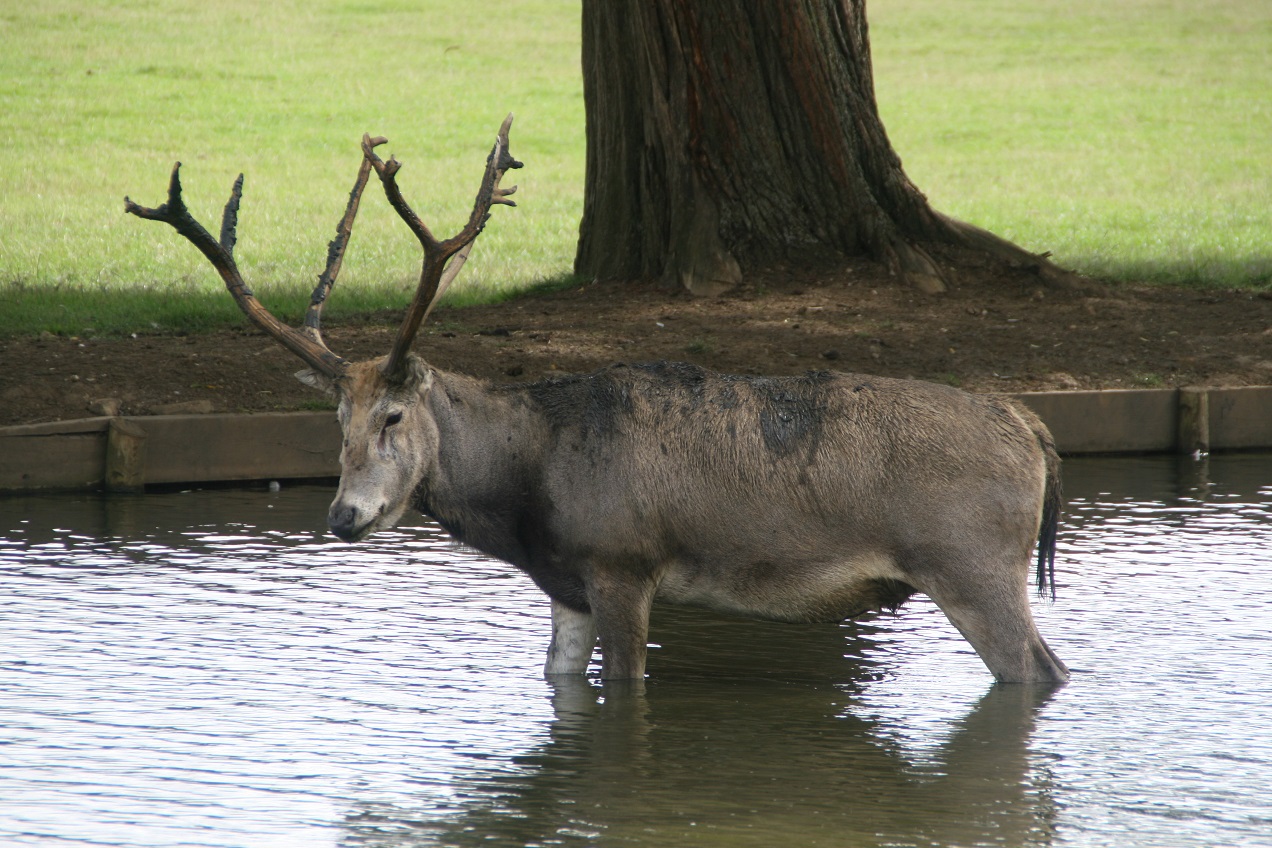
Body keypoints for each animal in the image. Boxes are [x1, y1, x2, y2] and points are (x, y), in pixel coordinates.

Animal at [126, 114, 1073, 681]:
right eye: (335, 420)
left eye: (393, 415)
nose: (344, 516)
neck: (531, 491)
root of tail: (1034, 429)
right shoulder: (568, 585)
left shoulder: (623, 562)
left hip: (972, 557)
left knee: (1040, 671)